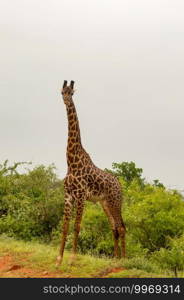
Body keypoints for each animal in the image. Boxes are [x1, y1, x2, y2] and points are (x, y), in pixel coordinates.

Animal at [56, 79, 125, 264]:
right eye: (62, 92)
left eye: (72, 93)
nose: (66, 101)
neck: (71, 161)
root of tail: (120, 185)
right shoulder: (68, 195)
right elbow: (65, 226)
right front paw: (59, 259)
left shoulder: (80, 196)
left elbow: (77, 226)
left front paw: (72, 259)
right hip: (105, 203)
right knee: (114, 227)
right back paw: (115, 259)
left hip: (115, 202)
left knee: (121, 227)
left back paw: (125, 260)